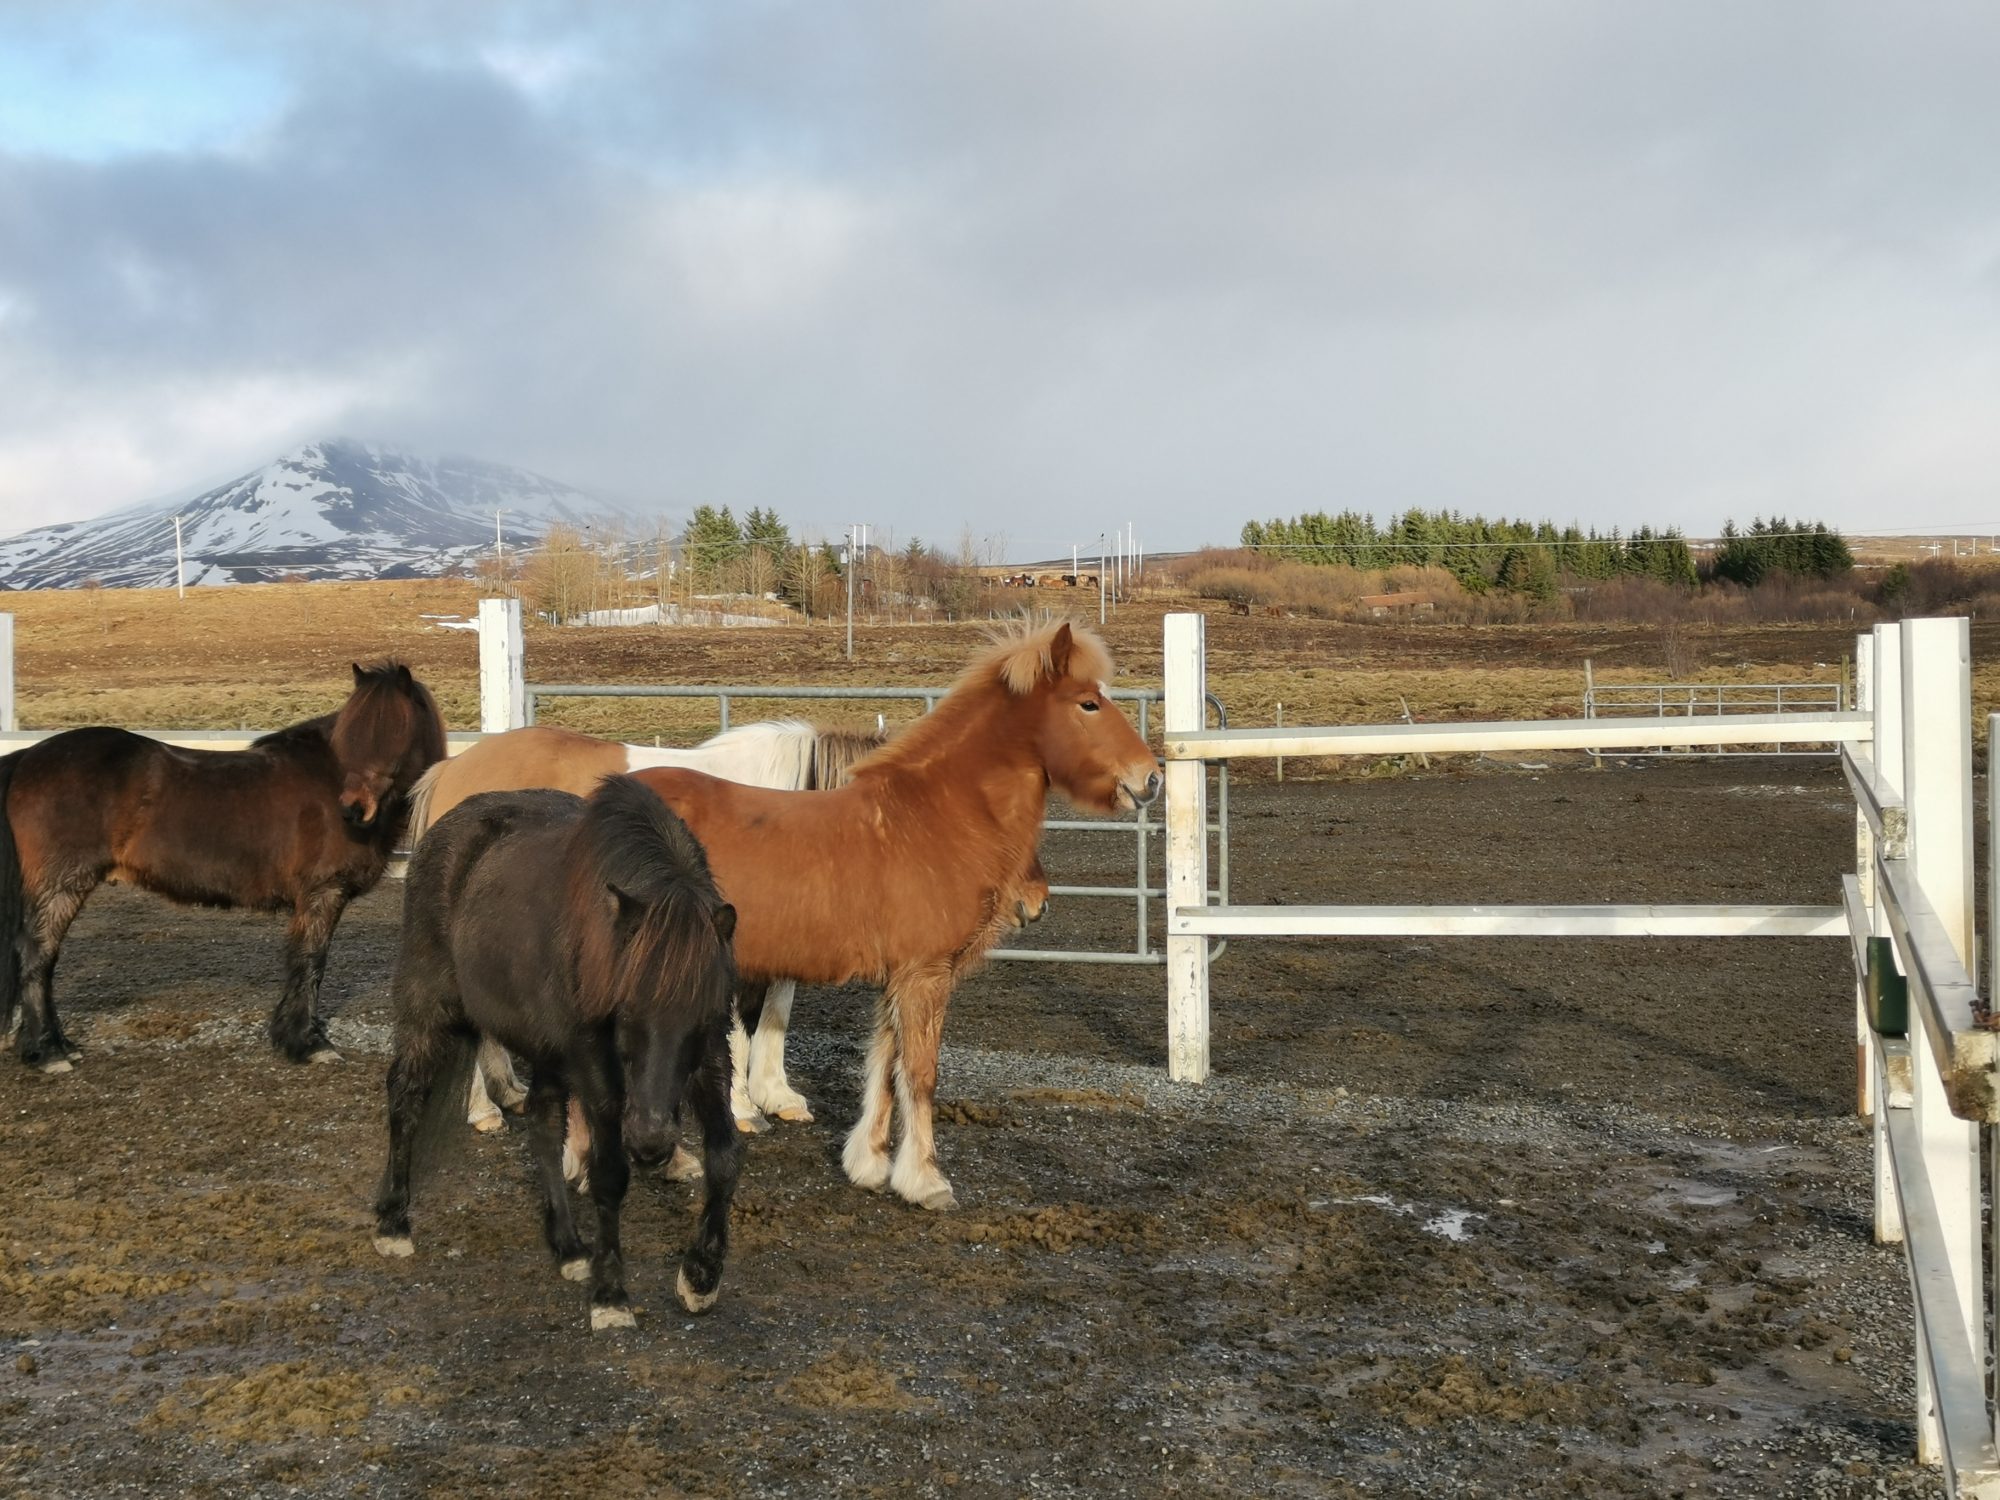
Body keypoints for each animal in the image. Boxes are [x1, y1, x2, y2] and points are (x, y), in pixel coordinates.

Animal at [0, 664, 442, 1072]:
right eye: (353, 733)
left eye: (397, 730)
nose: (352, 808)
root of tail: (28, 758)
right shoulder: (323, 892)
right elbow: (311, 961)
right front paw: (310, 1043)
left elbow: (300, 960)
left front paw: (289, 1036)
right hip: (62, 882)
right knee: (38, 953)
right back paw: (49, 1052)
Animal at [376, 780, 744, 1336]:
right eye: (626, 1008)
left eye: (701, 1015)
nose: (652, 1143)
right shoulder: (593, 1064)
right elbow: (609, 1175)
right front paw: (611, 1297)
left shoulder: (709, 1057)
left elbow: (724, 1158)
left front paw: (700, 1276)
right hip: (428, 1007)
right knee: (406, 1098)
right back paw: (393, 1222)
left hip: (544, 1050)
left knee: (545, 1128)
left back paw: (568, 1247)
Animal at [406, 724, 1056, 1144]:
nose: (1035, 901)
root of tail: (452, 768)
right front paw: (743, 1107)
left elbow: (776, 1013)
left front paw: (776, 1095)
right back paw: (482, 1108)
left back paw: (507, 1091)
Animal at [624, 616, 1160, 1216]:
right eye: (1088, 703)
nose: (1151, 778)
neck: (933, 817)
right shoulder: (926, 977)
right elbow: (920, 1073)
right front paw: (925, 1181)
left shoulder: (897, 979)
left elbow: (884, 1065)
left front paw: (871, 1165)